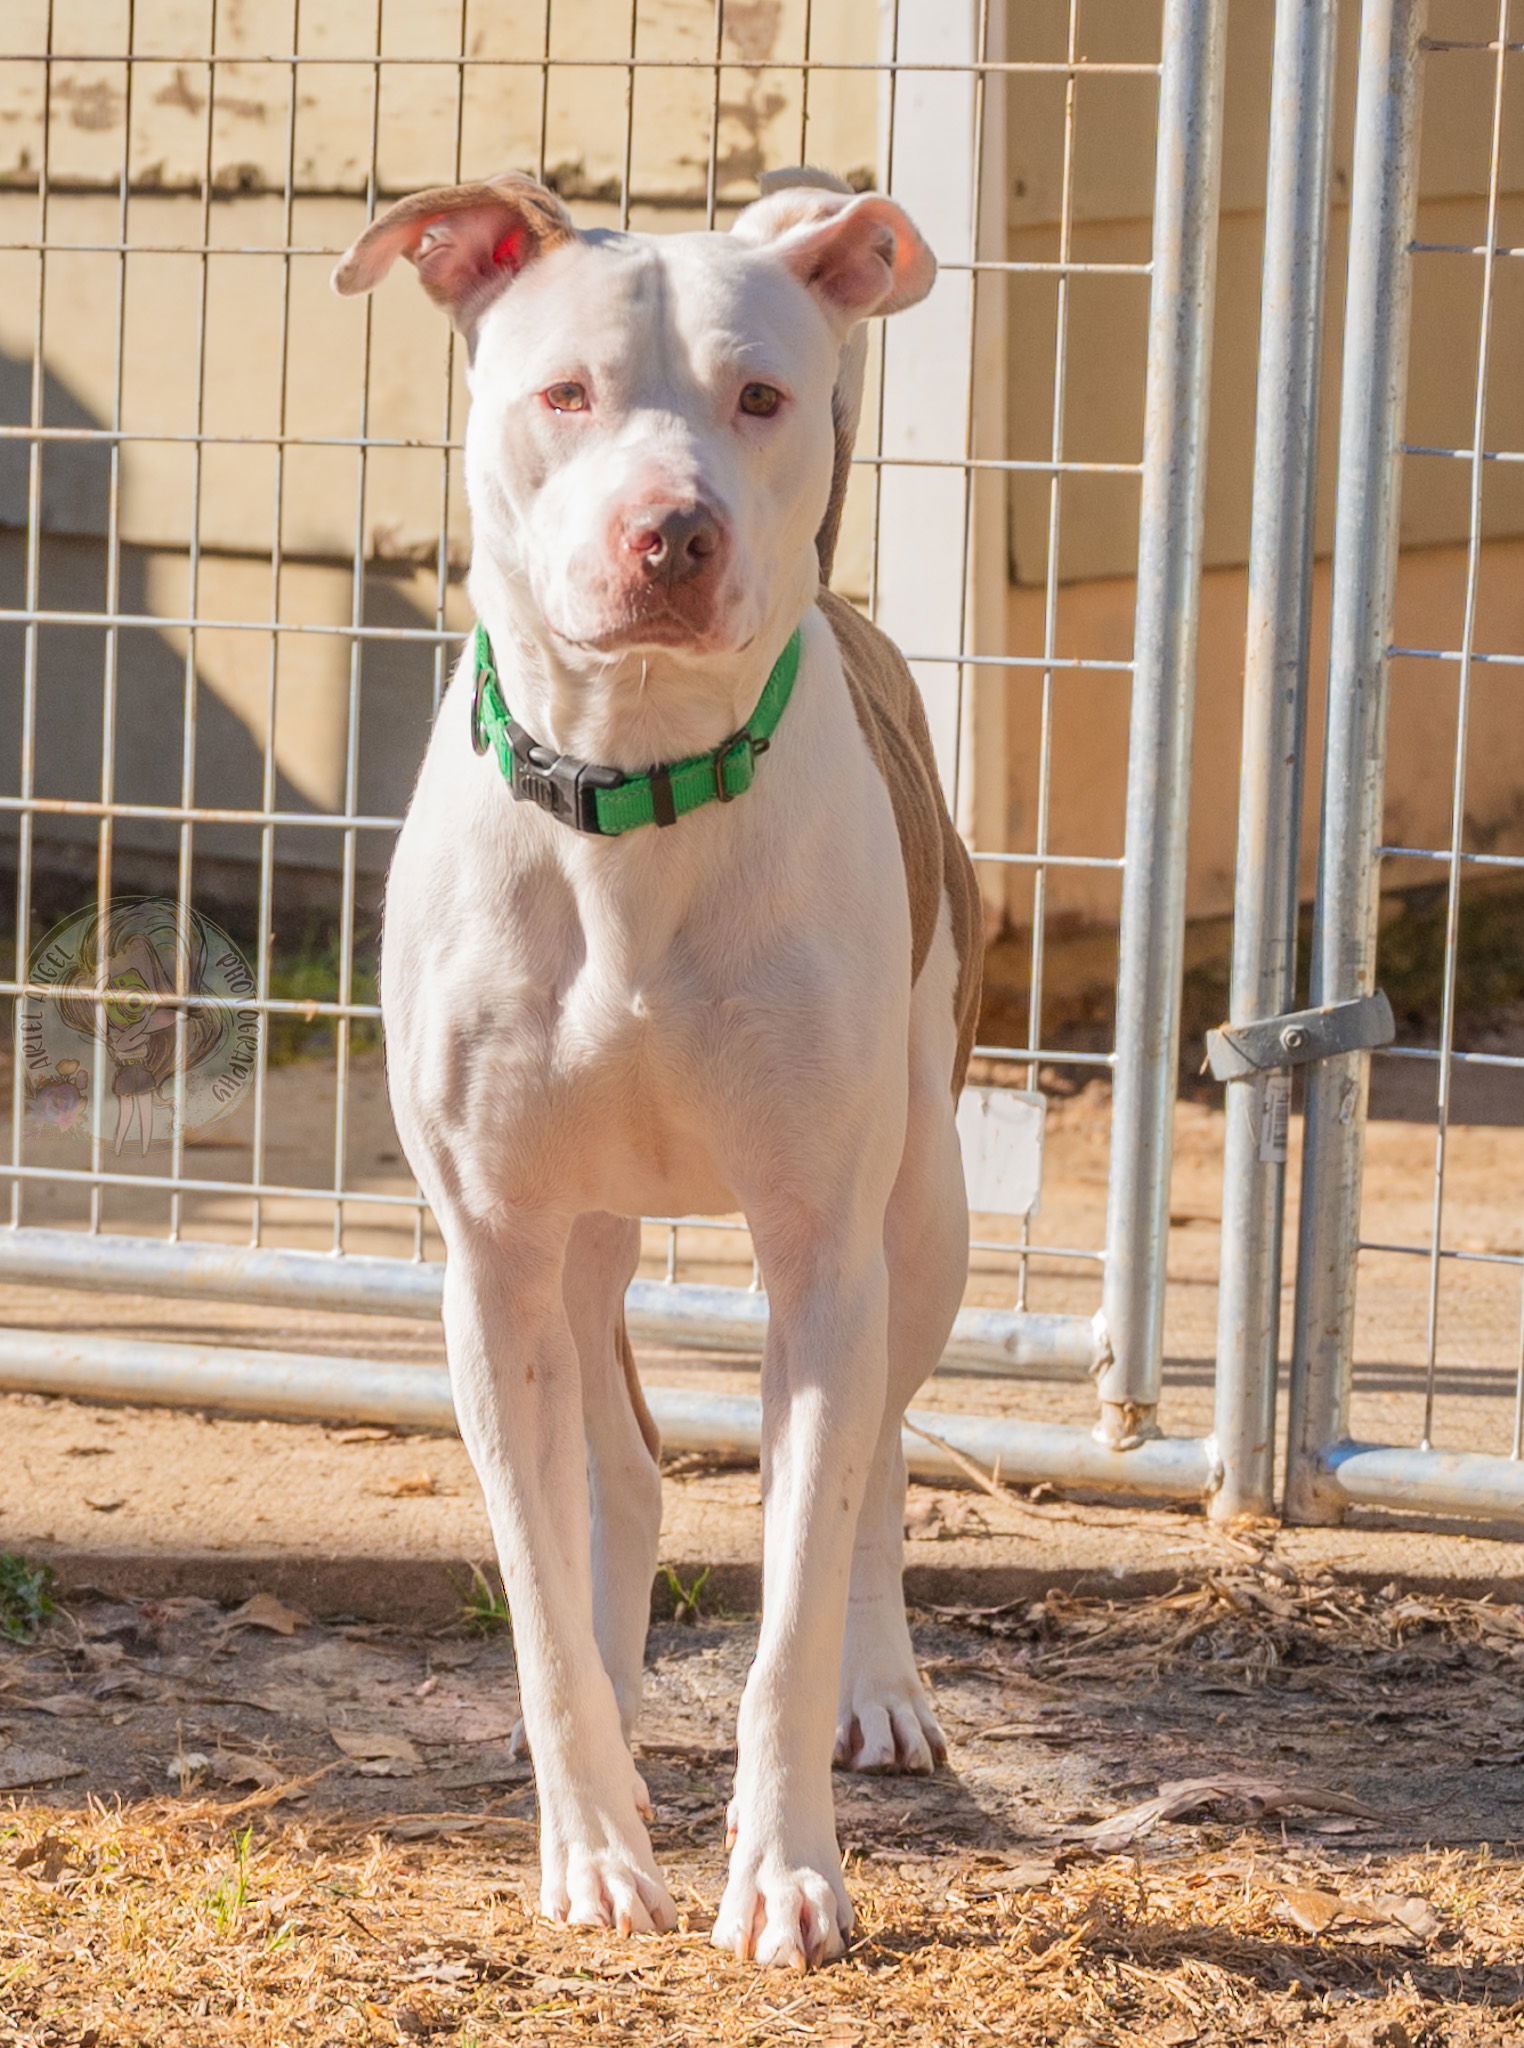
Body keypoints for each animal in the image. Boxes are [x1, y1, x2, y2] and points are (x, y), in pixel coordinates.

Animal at [331, 163, 975, 1966]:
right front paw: (593, 1843)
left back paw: (883, 1689)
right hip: (582, 1242)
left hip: (925, 1217)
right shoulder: (490, 1258)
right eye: (565, 394)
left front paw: (787, 1871)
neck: (634, 789)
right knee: (611, 1468)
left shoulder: (818, 1252)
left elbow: (795, 1581)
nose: (672, 533)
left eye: (760, 398)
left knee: (881, 1456)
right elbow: (541, 1592)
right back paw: (617, 1715)